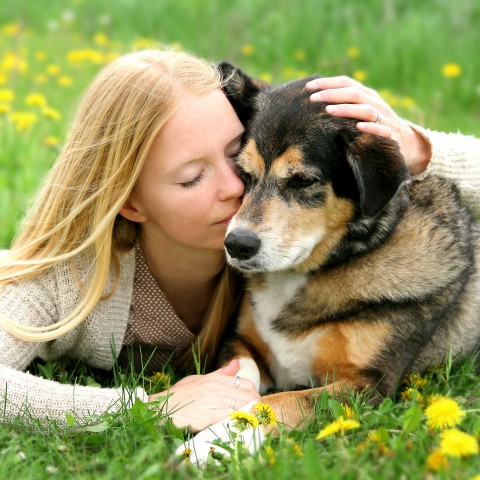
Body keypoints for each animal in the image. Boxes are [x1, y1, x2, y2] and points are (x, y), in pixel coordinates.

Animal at [218, 62, 480, 428]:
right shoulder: (241, 342)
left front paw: (213, 435)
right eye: (243, 175)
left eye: (303, 181)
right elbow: (239, 377)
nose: (237, 245)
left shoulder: (367, 386)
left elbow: (279, 404)